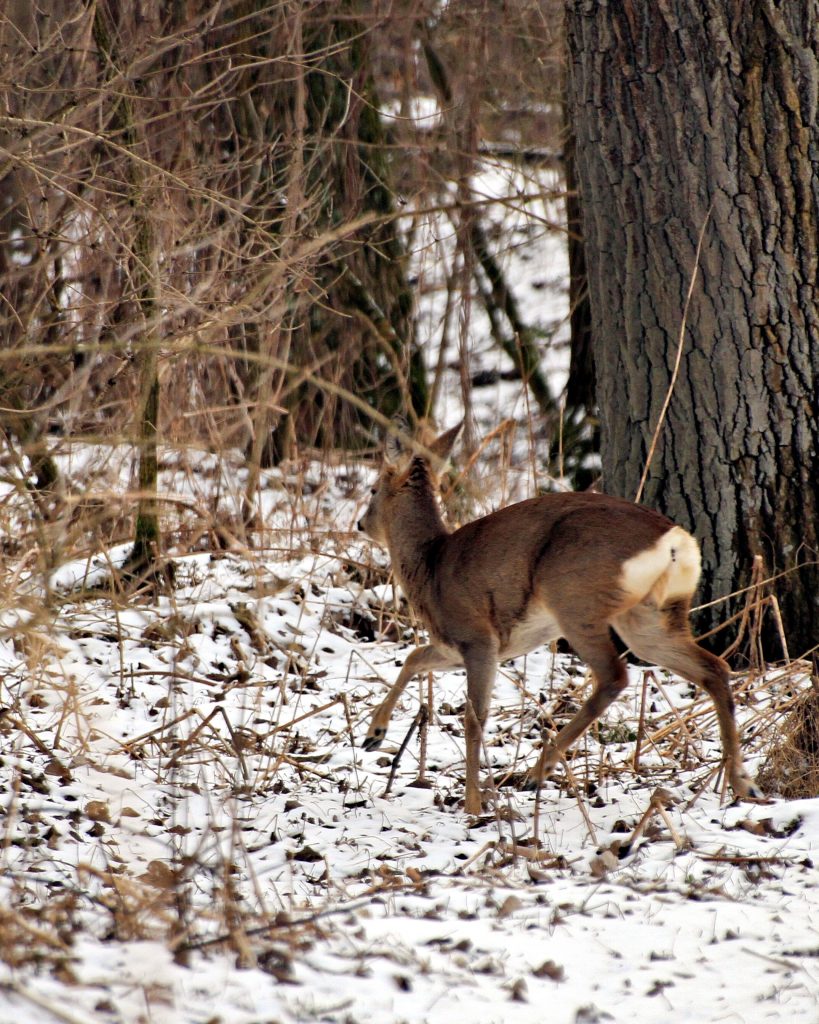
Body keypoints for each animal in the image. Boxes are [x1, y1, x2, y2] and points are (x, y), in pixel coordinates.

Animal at [358, 417, 761, 815]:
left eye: (373, 489)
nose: (361, 524)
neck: (430, 568)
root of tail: (675, 542)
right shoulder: (457, 645)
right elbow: (415, 657)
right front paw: (374, 734)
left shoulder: (476, 637)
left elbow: (474, 719)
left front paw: (473, 804)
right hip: (649, 616)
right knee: (713, 668)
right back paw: (743, 782)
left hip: (574, 598)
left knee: (614, 675)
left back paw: (538, 770)